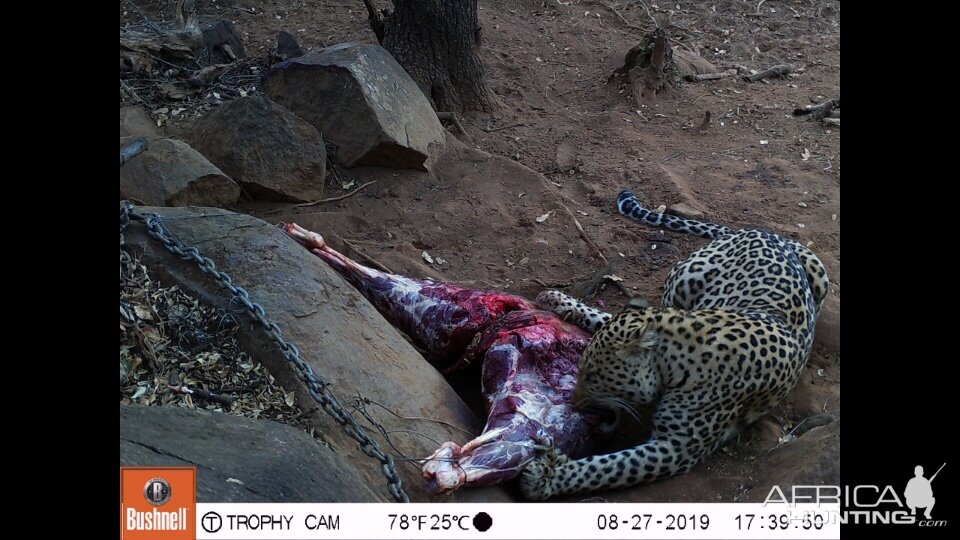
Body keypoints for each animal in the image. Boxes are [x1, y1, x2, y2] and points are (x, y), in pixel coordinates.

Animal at [520, 191, 828, 502]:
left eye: (593, 376)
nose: (575, 402)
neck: (679, 356)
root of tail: (768, 232)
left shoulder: (676, 449)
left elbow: (606, 467)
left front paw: (547, 477)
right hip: (686, 281)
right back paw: (557, 299)